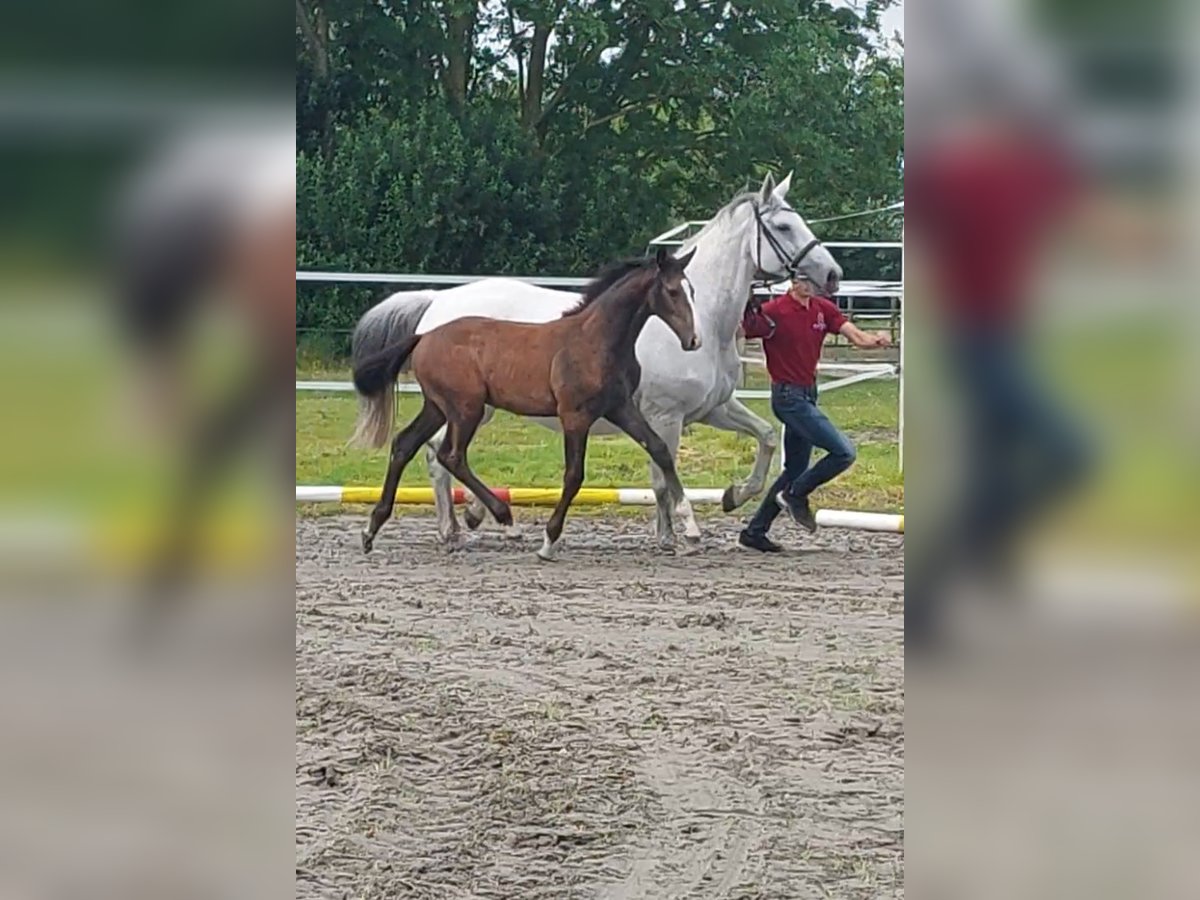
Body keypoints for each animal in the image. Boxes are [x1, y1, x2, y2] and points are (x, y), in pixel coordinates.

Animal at [350, 247, 700, 556]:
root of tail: (423, 336)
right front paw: (549, 540)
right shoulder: (575, 416)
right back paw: (505, 520)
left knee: (404, 444)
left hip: (437, 407)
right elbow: (574, 475)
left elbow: (659, 450)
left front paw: (690, 527)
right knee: (451, 455)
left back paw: (371, 531)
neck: (596, 340)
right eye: (672, 291)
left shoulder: (621, 407)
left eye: (692, 290)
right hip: (466, 408)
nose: (694, 340)